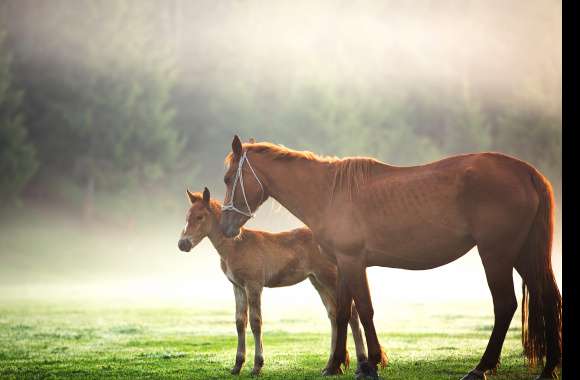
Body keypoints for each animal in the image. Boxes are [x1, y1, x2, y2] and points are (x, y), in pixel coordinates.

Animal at [176, 187, 372, 374]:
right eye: (187, 216)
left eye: (200, 217)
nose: (182, 244)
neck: (237, 246)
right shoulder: (238, 287)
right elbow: (240, 322)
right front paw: (237, 365)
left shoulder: (253, 285)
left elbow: (256, 322)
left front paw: (257, 366)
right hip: (318, 281)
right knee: (333, 314)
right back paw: (331, 365)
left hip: (330, 279)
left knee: (351, 314)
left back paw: (360, 362)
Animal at [219, 137, 560, 380]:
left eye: (228, 178)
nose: (226, 227)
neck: (329, 193)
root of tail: (528, 173)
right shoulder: (343, 265)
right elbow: (343, 313)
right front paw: (335, 365)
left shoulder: (353, 262)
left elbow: (364, 310)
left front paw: (369, 365)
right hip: (524, 254)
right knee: (547, 298)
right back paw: (548, 368)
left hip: (496, 254)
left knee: (505, 306)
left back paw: (481, 368)